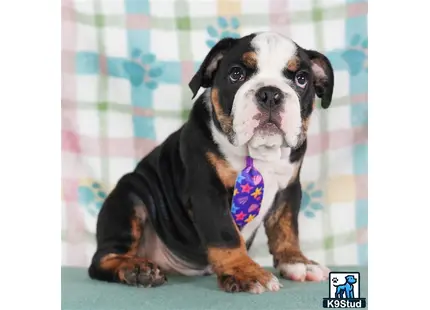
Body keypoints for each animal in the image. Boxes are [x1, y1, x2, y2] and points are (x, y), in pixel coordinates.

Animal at [87, 30, 334, 294]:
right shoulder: (207, 191)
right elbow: (226, 234)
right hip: (129, 199)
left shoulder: (288, 189)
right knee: (102, 259)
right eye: (236, 74)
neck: (257, 155)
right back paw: (136, 269)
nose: (270, 94)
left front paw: (297, 262)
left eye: (301, 79)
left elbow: (286, 228)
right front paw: (245, 272)